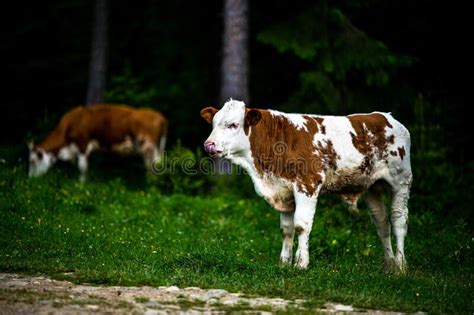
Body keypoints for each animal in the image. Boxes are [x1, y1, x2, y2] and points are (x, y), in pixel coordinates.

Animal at [27, 105, 168, 181]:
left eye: (33, 161)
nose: (30, 179)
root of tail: (159, 116)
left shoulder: (82, 143)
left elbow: (82, 167)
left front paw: (81, 184)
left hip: (149, 146)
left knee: (155, 165)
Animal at [202, 100, 412, 272]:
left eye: (233, 125)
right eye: (213, 124)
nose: (209, 144)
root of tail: (385, 116)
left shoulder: (308, 184)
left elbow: (301, 225)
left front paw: (301, 264)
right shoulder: (284, 191)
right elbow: (286, 229)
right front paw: (284, 263)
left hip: (401, 181)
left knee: (398, 220)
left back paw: (401, 266)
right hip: (372, 186)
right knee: (381, 222)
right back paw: (389, 266)